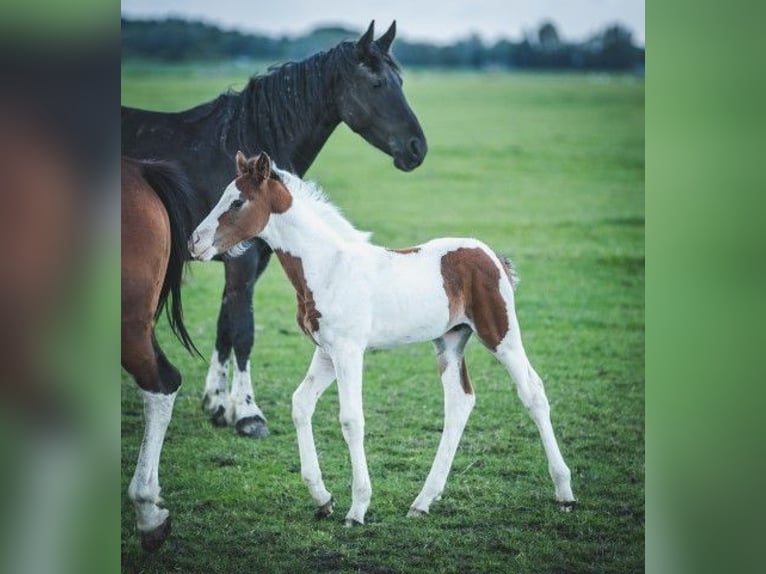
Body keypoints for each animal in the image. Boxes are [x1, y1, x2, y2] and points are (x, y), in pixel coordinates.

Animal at [123, 20, 428, 438]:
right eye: (377, 83)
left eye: (400, 80)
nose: (418, 148)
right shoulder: (242, 262)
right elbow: (243, 332)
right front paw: (248, 414)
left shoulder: (249, 263)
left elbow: (225, 327)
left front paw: (218, 404)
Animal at [190, 152, 576, 528]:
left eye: (237, 201)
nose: (195, 242)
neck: (327, 267)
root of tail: (491, 255)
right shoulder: (327, 352)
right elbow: (301, 403)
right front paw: (323, 499)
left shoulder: (349, 351)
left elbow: (351, 419)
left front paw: (357, 509)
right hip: (450, 341)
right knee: (459, 402)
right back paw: (422, 502)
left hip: (500, 334)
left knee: (533, 392)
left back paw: (564, 493)